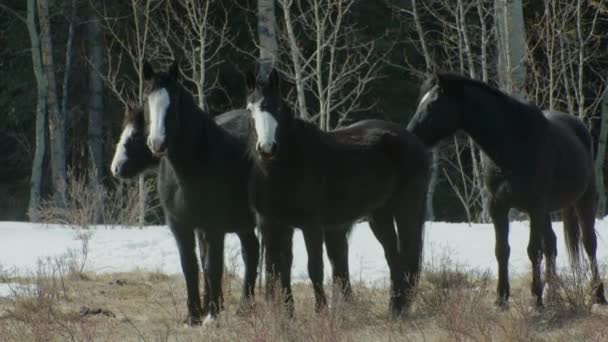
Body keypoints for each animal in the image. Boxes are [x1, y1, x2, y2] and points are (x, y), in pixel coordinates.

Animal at [141, 60, 354, 324]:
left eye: (174, 102)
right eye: (146, 100)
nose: (157, 143)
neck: (193, 162)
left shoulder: (214, 225)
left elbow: (213, 266)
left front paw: (212, 315)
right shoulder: (180, 224)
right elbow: (190, 266)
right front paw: (193, 316)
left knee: (329, 254)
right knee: (254, 253)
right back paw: (248, 307)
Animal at [245, 68, 430, 316]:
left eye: (277, 108)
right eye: (250, 110)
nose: (267, 148)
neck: (282, 168)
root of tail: (414, 141)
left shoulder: (311, 225)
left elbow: (314, 267)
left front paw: (321, 312)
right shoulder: (273, 224)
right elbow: (278, 269)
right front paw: (286, 315)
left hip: (406, 209)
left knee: (407, 252)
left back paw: (399, 309)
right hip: (379, 215)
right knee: (394, 256)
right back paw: (395, 309)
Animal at [408, 73, 608, 308]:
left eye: (432, 104)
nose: (410, 135)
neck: (513, 144)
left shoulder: (534, 207)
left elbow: (534, 251)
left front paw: (536, 299)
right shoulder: (498, 206)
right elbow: (502, 250)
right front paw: (501, 298)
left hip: (583, 200)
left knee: (589, 244)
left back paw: (597, 295)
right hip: (546, 211)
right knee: (552, 244)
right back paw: (554, 293)